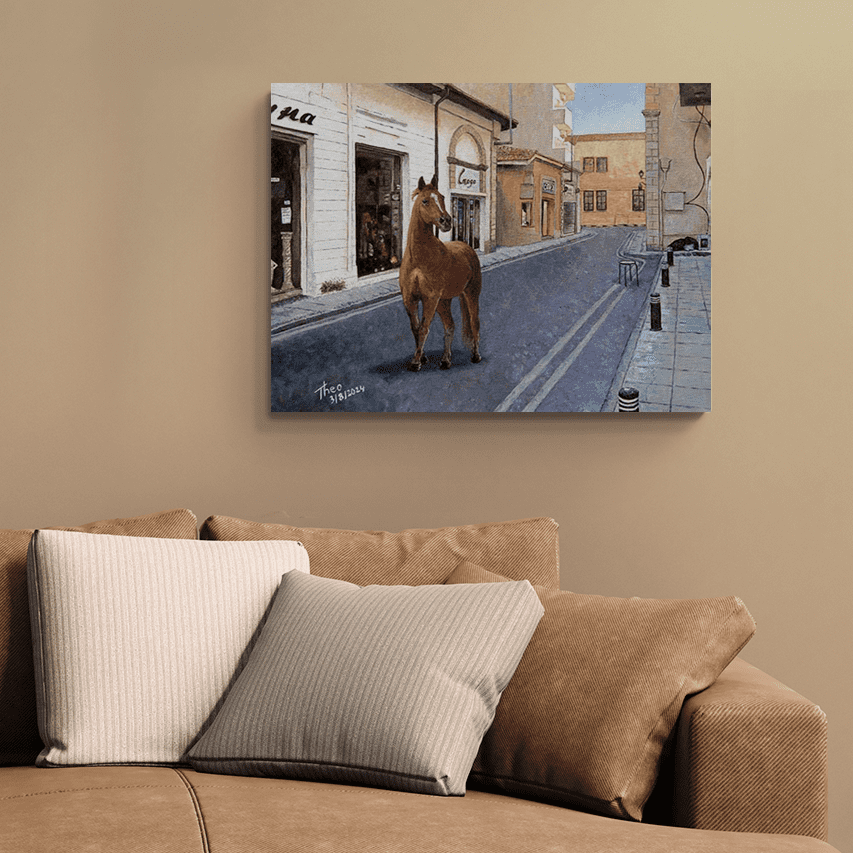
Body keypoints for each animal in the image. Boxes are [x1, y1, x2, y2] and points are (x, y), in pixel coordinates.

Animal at [398, 176, 480, 370]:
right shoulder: (410, 299)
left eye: (442, 197)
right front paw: (422, 357)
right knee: (450, 325)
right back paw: (445, 360)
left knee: (474, 323)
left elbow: (423, 328)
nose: (447, 221)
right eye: (425, 201)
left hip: (471, 294)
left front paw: (415, 362)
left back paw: (475, 355)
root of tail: (467, 247)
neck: (418, 261)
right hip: (444, 301)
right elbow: (415, 328)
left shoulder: (430, 298)